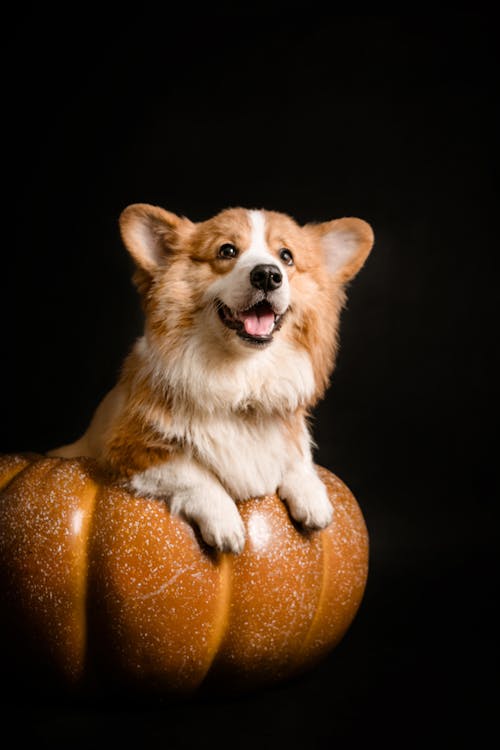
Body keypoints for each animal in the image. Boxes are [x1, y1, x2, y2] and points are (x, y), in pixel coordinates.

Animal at [50, 204, 374, 552]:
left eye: (286, 256)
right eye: (227, 250)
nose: (267, 274)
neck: (242, 378)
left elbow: (299, 455)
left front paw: (313, 496)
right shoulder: (129, 449)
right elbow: (190, 472)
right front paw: (225, 524)